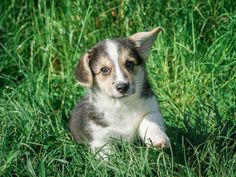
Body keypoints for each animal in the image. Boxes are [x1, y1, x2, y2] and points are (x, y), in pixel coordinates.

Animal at [69, 26, 171, 155]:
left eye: (129, 64)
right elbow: (108, 155)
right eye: (104, 70)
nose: (123, 87)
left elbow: (150, 123)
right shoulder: (101, 140)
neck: (122, 104)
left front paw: (157, 139)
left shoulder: (151, 110)